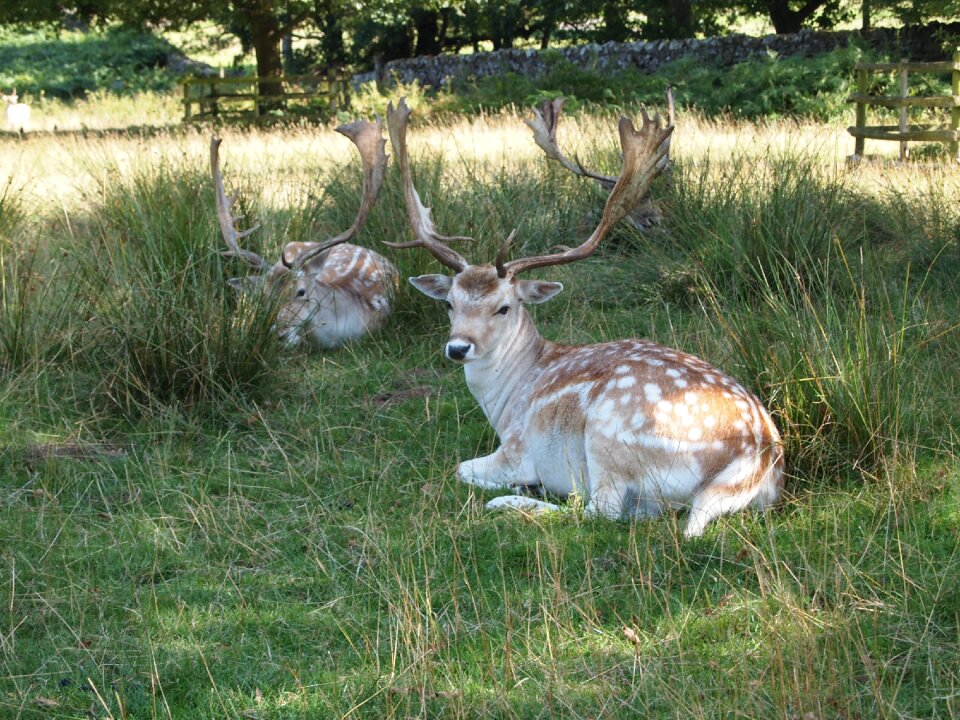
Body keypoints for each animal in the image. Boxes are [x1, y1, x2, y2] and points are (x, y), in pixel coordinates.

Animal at [386, 98, 784, 536]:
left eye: (504, 306)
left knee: (599, 509)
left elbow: (461, 468)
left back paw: (511, 501)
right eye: (449, 303)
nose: (458, 348)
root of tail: (753, 460)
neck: (507, 399)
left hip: (608, 436)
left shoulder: (516, 449)